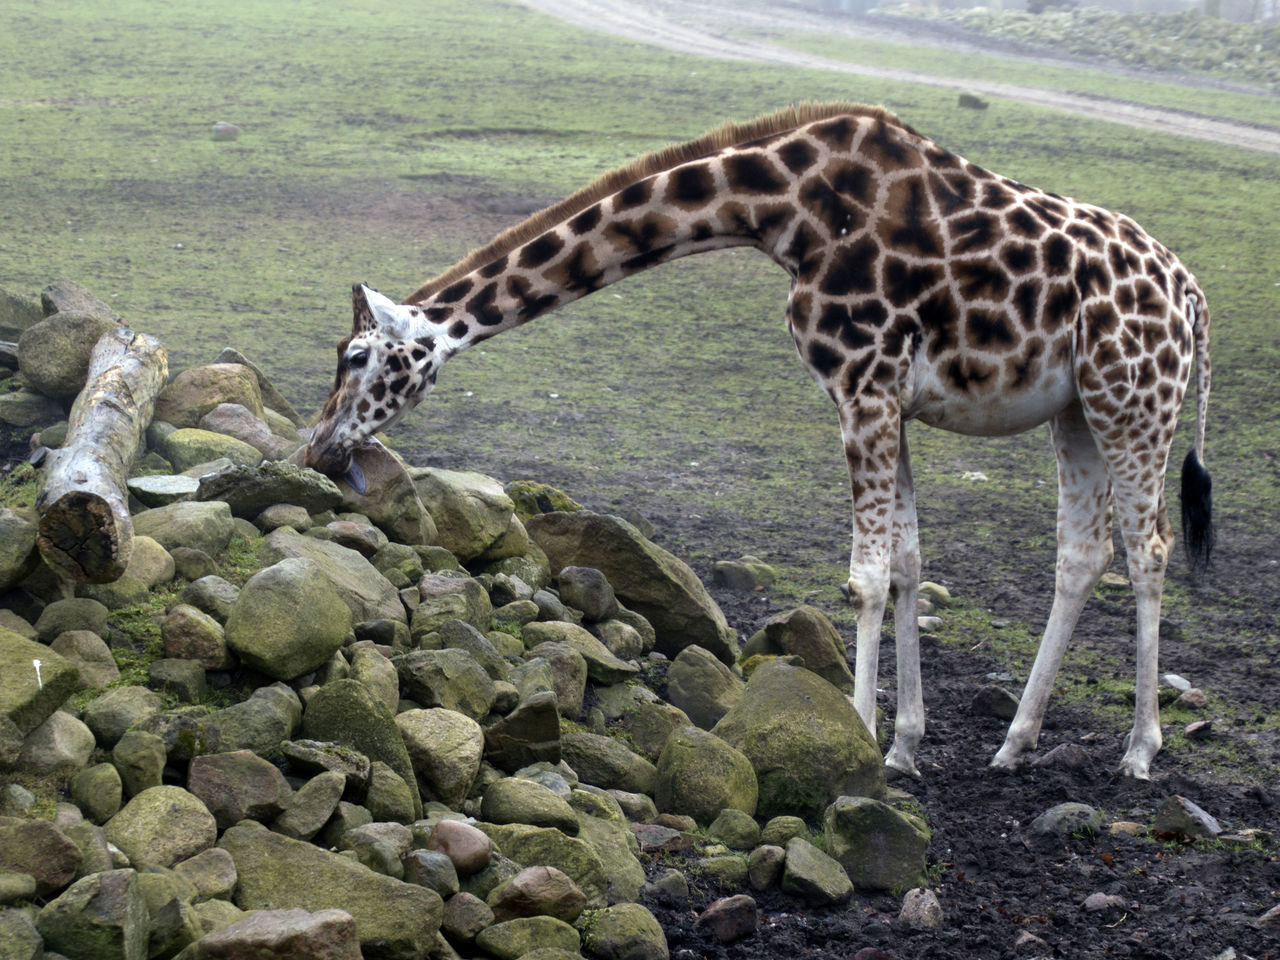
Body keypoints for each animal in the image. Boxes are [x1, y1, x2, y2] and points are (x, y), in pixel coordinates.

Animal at [307, 103, 1208, 783]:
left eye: (355, 357)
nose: (317, 448)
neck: (783, 210)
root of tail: (1194, 301)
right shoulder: (889, 398)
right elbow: (909, 565)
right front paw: (905, 745)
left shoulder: (862, 386)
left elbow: (866, 578)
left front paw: (857, 741)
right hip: (1078, 410)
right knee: (1084, 554)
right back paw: (1015, 744)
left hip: (1133, 402)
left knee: (1150, 548)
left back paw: (1138, 751)